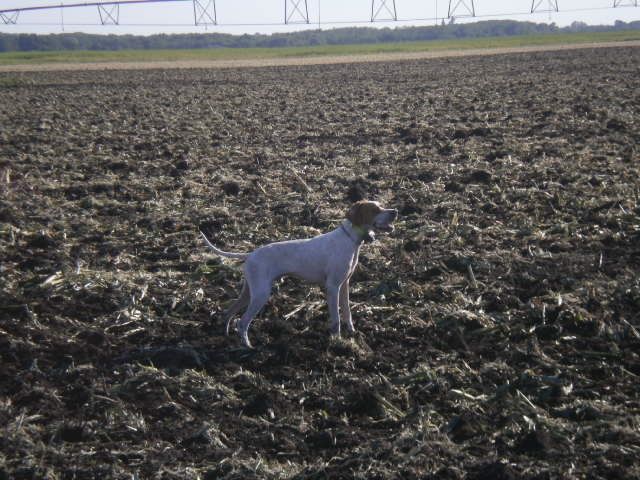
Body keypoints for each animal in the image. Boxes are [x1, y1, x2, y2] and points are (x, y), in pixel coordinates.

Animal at [202, 200, 398, 348]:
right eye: (375, 209)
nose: (395, 211)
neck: (349, 239)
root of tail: (250, 254)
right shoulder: (333, 287)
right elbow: (336, 319)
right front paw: (337, 341)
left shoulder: (344, 285)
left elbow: (347, 314)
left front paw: (352, 334)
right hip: (260, 294)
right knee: (242, 322)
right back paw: (248, 347)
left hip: (250, 292)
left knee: (228, 313)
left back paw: (226, 337)